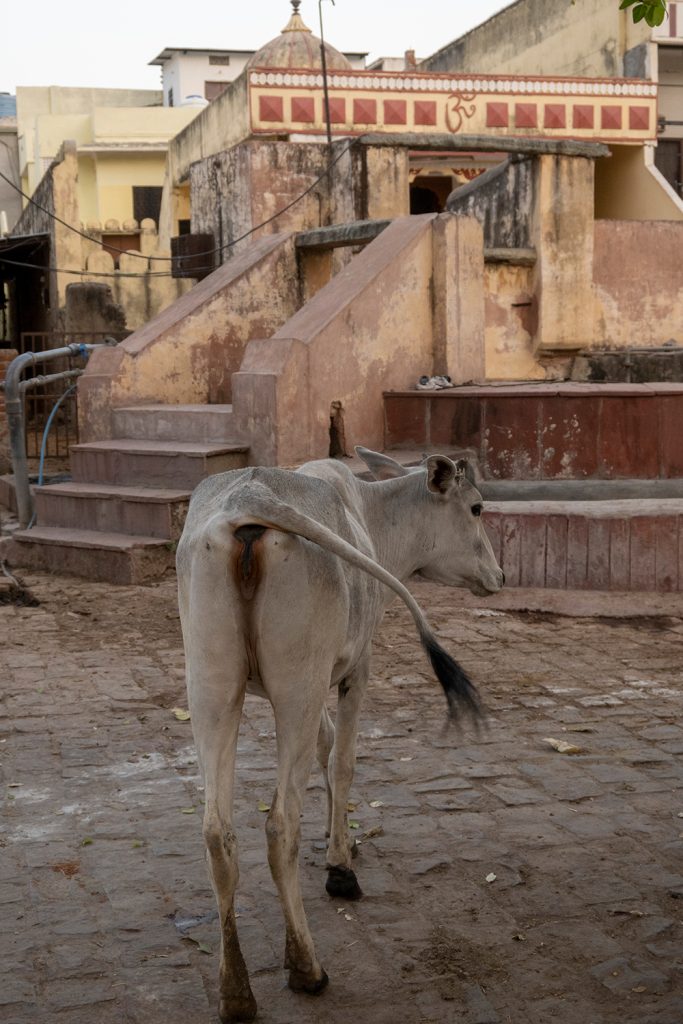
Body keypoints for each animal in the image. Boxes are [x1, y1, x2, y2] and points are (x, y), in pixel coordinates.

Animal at [176, 446, 504, 1022]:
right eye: (477, 509)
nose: (499, 574)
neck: (369, 514)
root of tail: (248, 499)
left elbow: (327, 750)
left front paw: (341, 842)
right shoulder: (356, 667)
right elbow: (344, 760)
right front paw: (340, 867)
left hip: (212, 687)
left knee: (218, 834)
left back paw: (235, 993)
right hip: (296, 687)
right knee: (280, 823)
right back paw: (306, 967)